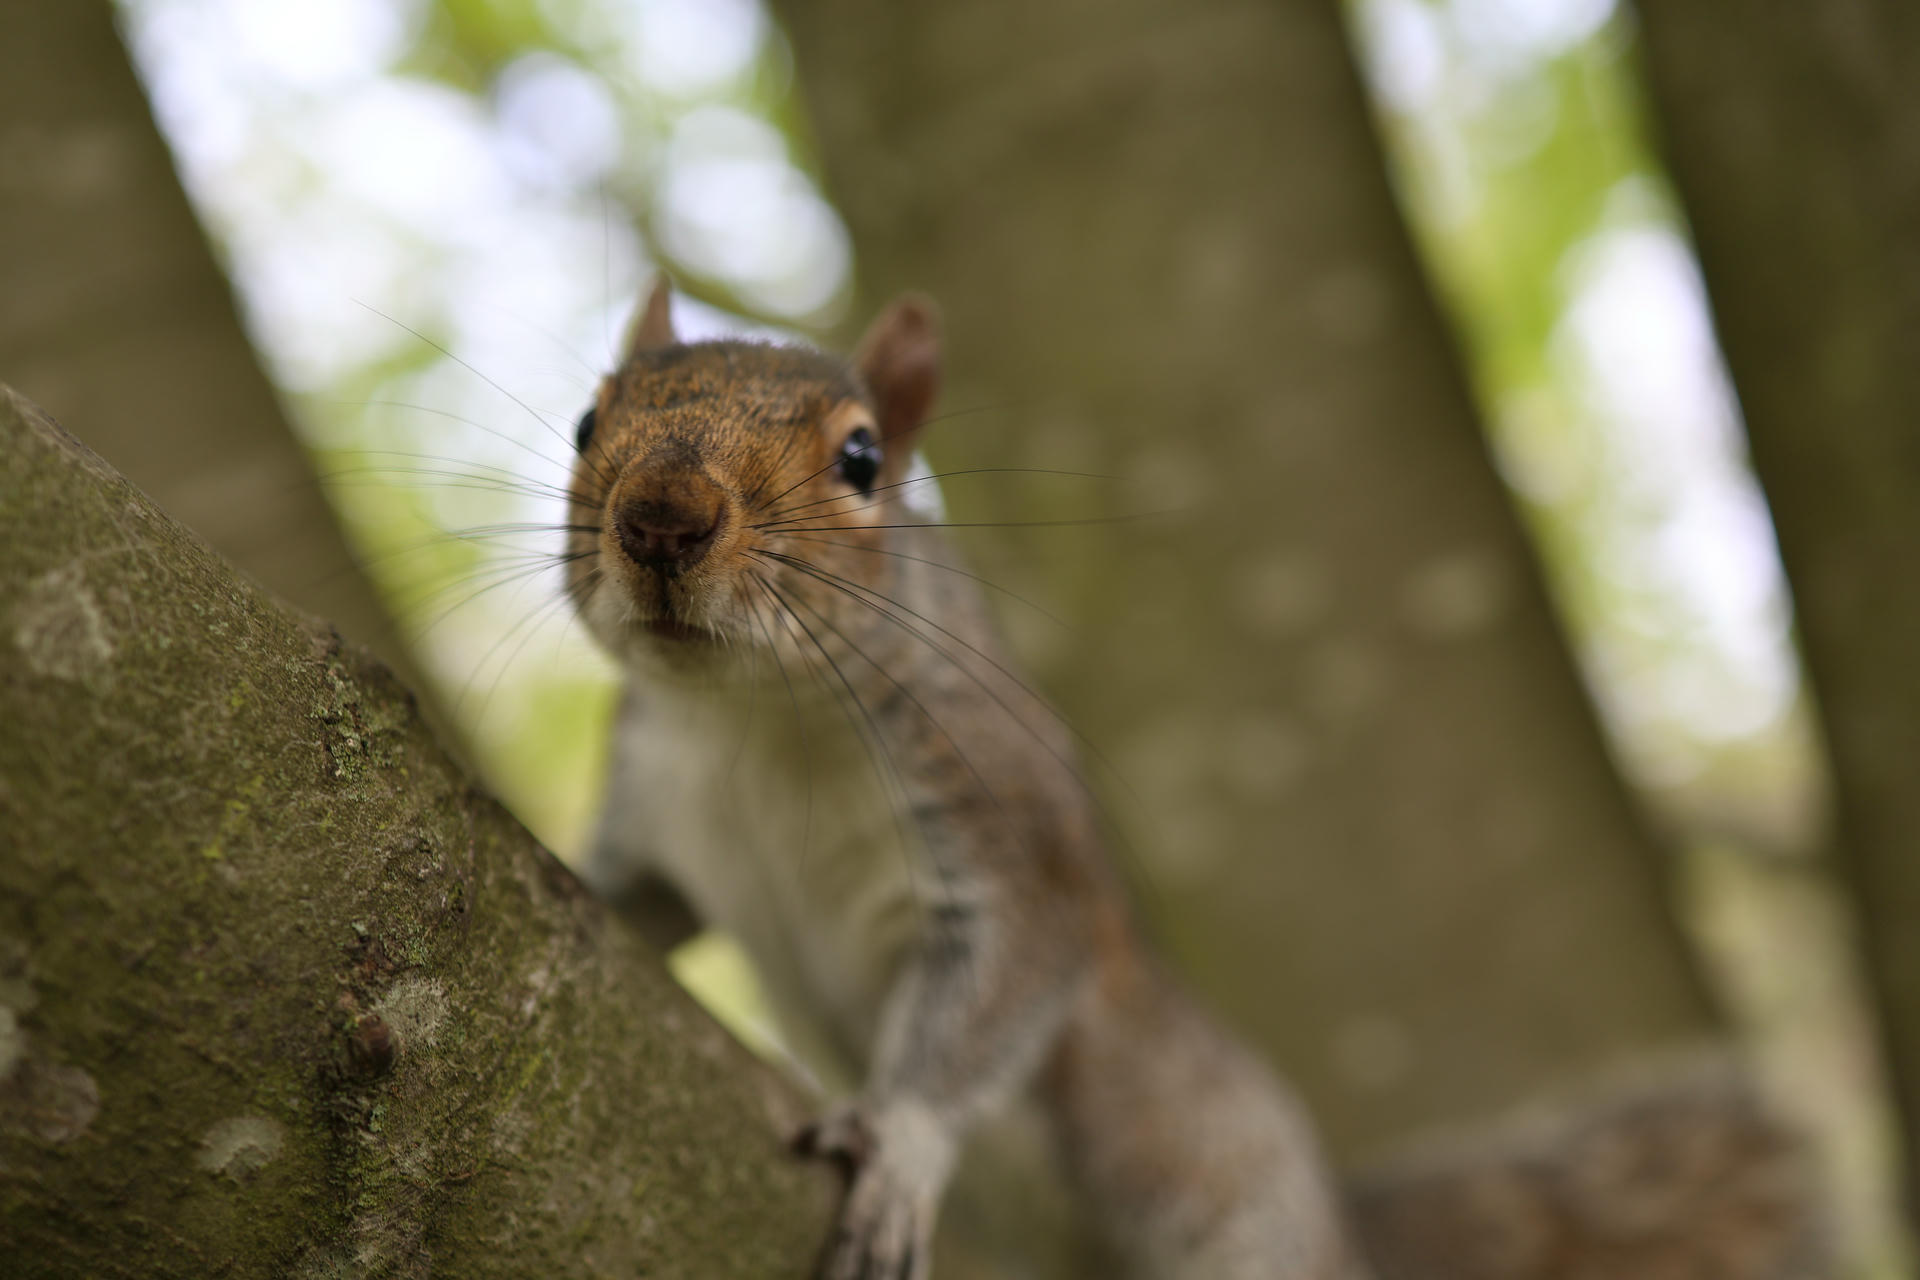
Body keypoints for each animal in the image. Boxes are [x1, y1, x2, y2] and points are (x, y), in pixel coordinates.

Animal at [567, 279, 1370, 1280]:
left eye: (863, 457)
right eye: (586, 423)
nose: (661, 517)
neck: (746, 716)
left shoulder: (1002, 817)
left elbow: (1000, 988)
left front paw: (898, 1143)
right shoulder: (647, 793)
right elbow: (634, 899)